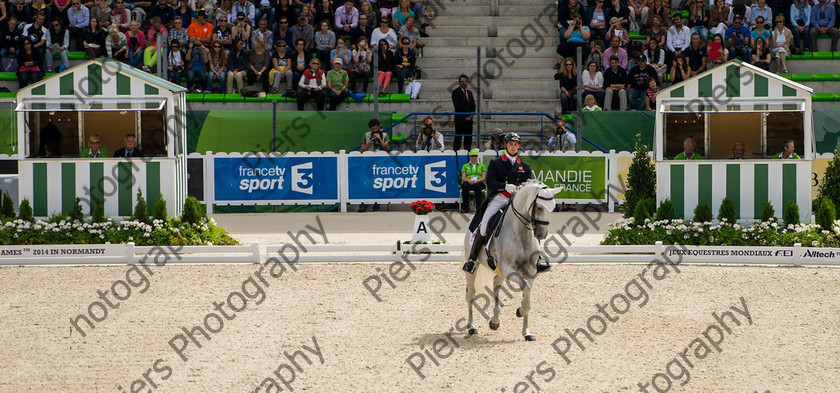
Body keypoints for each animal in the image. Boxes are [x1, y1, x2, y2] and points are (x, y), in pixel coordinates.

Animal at [462, 180, 560, 340]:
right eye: (539, 207)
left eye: (553, 208)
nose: (542, 234)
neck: (521, 233)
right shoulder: (508, 268)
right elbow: (525, 286)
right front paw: (520, 311)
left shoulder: (530, 271)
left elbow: (527, 291)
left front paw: (526, 331)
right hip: (473, 267)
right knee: (470, 294)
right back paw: (471, 327)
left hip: (500, 271)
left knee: (496, 284)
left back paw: (494, 321)